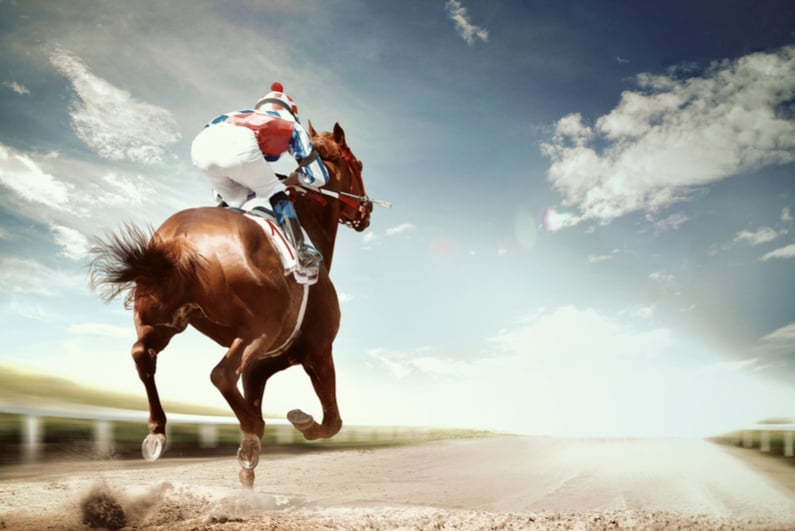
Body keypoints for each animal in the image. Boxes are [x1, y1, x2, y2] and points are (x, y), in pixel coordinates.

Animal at [87, 122, 374, 488]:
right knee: (221, 374)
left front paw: (248, 464)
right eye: (359, 165)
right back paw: (251, 427)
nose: (367, 211)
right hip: (256, 329)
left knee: (143, 354)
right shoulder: (316, 348)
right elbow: (332, 421)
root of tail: (178, 242)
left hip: (162, 321)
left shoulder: (266, 359)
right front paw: (298, 421)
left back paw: (158, 432)